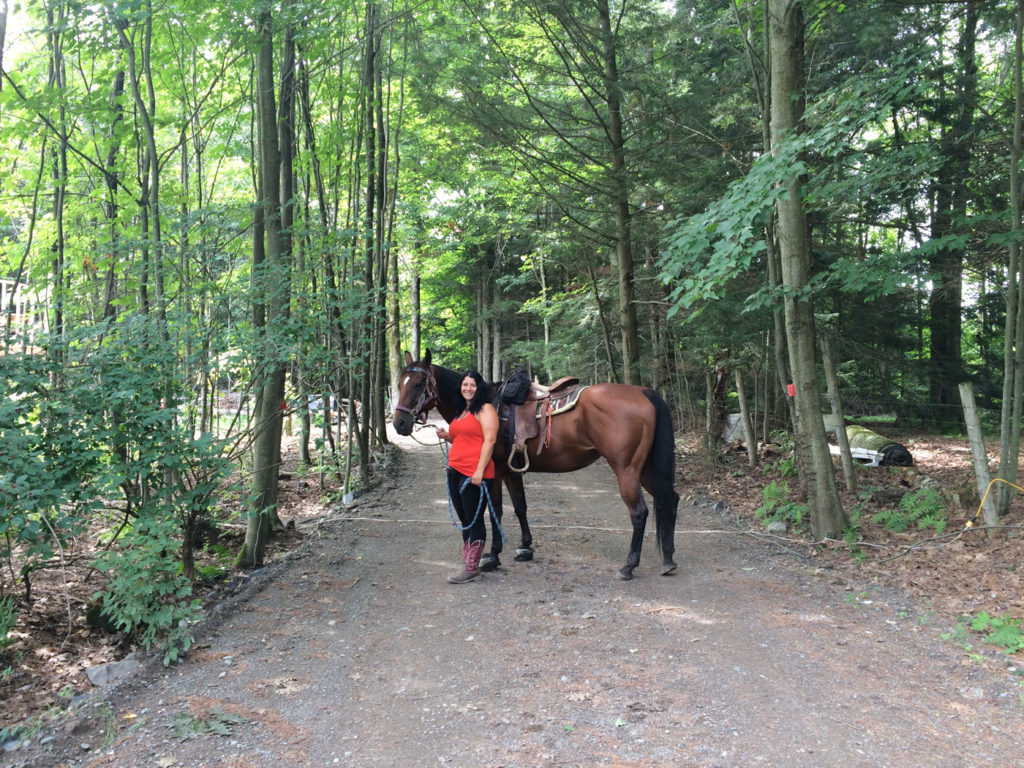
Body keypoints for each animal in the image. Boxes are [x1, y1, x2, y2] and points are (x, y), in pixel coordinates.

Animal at [391, 352, 679, 581]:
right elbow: (520, 507)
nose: (399, 423)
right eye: (400, 382)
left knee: (639, 513)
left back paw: (629, 566)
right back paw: (668, 559)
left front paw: (493, 555)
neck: (487, 404)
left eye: (418, 384)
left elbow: (496, 510)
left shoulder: (495, 470)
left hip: (626, 470)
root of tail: (642, 392)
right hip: (647, 469)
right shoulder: (512, 470)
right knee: (670, 499)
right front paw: (525, 548)